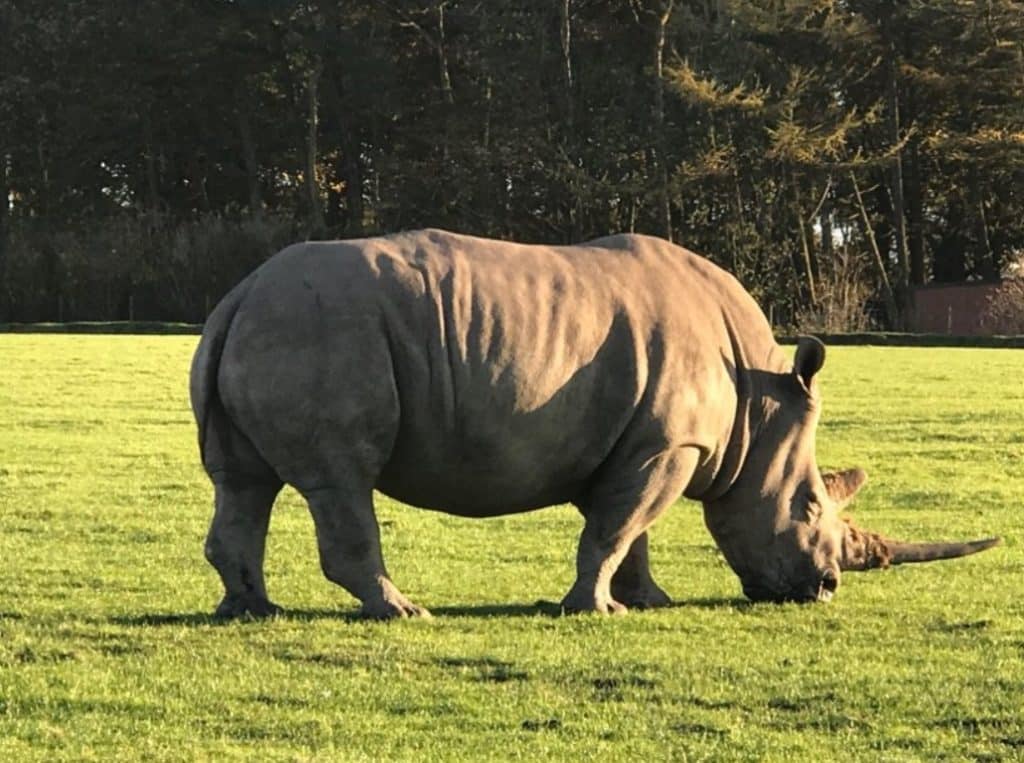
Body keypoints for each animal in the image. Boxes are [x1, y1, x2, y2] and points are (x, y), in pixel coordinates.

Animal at [188, 227, 995, 618]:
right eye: (809, 506)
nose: (824, 589)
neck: (759, 405)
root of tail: (237, 294)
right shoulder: (671, 443)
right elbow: (615, 528)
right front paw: (596, 611)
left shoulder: (637, 444)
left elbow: (628, 530)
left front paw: (645, 601)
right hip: (320, 331)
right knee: (339, 480)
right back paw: (404, 612)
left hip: (273, 327)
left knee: (243, 482)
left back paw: (251, 611)